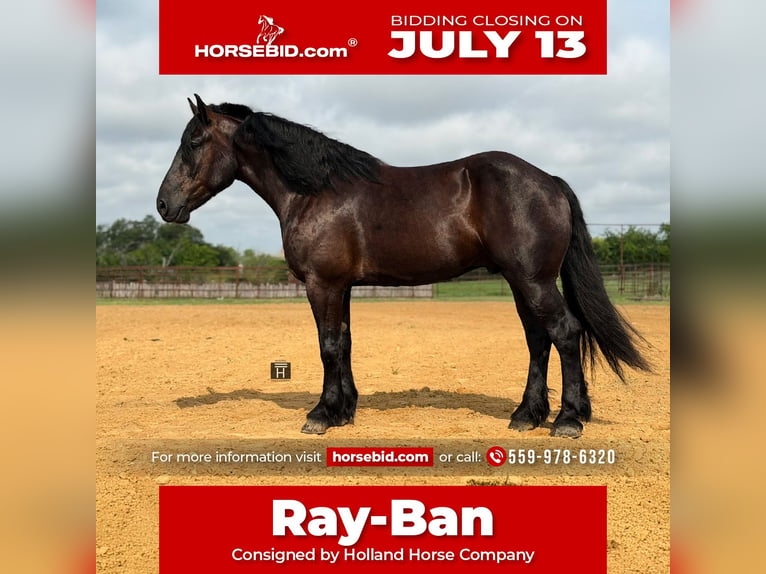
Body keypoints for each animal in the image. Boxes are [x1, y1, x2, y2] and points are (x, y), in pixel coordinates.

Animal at [157, 95, 650, 438]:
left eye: (193, 142)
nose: (164, 205)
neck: (315, 192)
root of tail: (549, 181)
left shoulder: (322, 285)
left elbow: (328, 347)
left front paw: (321, 414)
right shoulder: (342, 287)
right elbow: (345, 344)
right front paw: (344, 411)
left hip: (534, 280)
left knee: (564, 333)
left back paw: (567, 419)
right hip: (520, 282)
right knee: (537, 339)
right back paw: (527, 415)